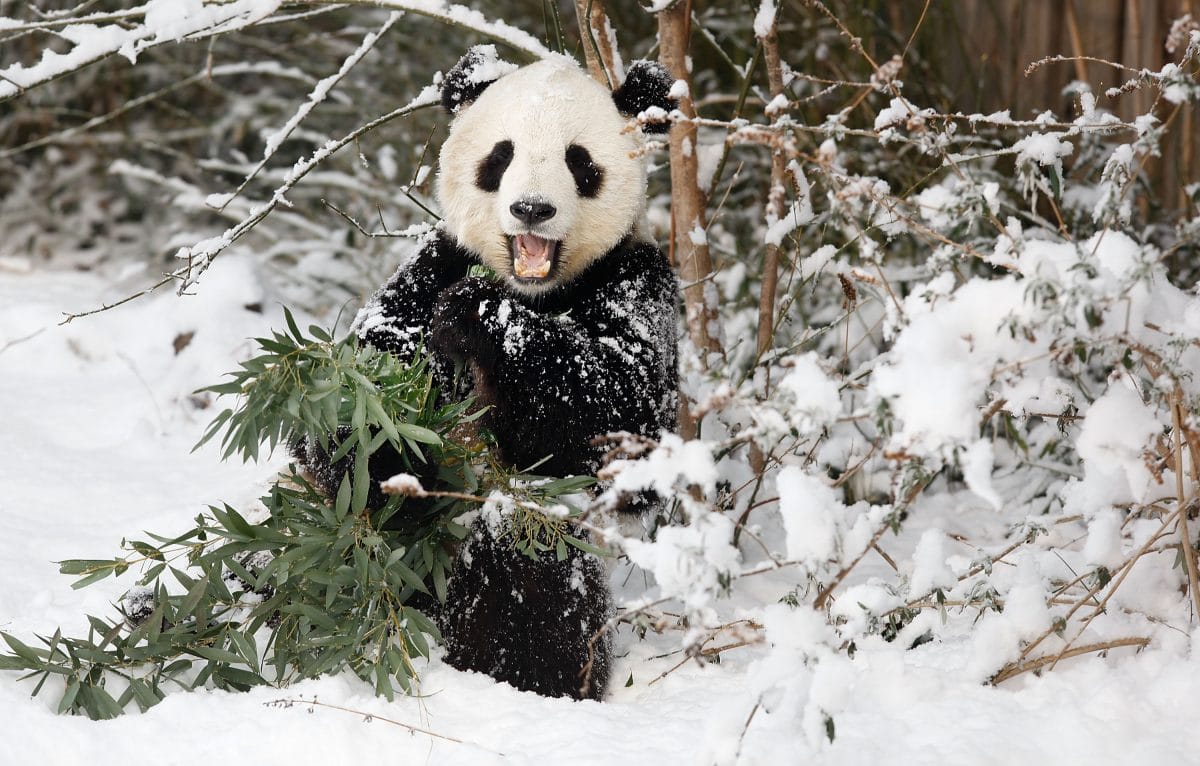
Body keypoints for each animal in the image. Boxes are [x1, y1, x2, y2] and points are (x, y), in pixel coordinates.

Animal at [296, 45, 681, 701]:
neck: (535, 290)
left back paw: (527, 676)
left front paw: (477, 317)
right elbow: (355, 391)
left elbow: (623, 416)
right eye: (500, 157)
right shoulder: (436, 264)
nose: (532, 209)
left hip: (537, 529)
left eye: (580, 162)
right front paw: (390, 440)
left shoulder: (636, 277)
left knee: (526, 570)